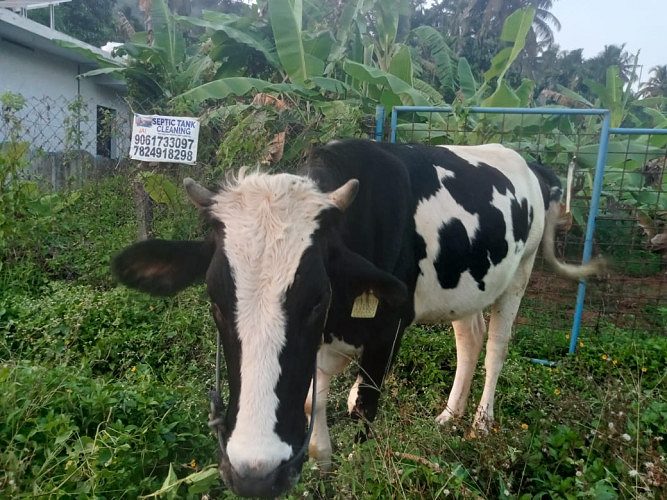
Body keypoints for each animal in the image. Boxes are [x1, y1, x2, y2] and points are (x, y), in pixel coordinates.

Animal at [111, 139, 602, 498]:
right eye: (215, 300)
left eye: (316, 299)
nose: (256, 475)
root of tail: (528, 163)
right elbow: (313, 404)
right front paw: (322, 464)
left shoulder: (387, 329)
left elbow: (365, 407)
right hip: (468, 286)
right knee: (470, 336)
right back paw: (449, 415)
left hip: (520, 273)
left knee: (497, 346)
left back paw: (480, 424)